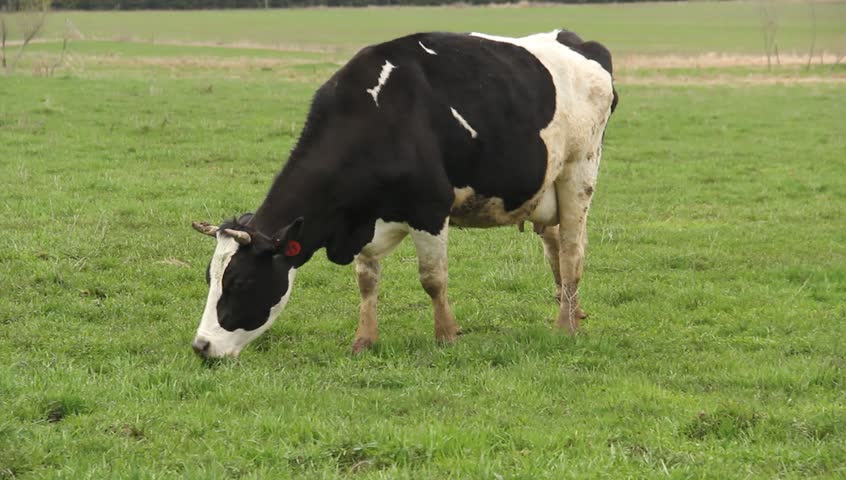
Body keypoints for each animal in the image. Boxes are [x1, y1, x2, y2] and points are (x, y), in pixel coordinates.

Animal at [190, 29, 618, 359]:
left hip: (579, 173)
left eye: (240, 282)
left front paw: (446, 335)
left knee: (572, 252)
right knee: (555, 251)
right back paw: (572, 312)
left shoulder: (429, 209)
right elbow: (367, 280)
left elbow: (433, 279)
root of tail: (578, 41)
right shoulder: (363, 217)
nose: (201, 346)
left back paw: (565, 327)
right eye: (210, 277)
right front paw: (363, 340)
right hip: (545, 191)